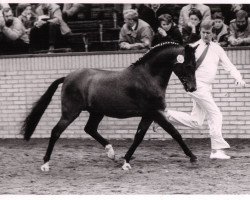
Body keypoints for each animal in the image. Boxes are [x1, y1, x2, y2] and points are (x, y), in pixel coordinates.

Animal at [20, 41, 198, 171]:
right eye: (188, 65)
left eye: (195, 65)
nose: (193, 88)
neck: (147, 77)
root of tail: (67, 77)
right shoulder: (155, 112)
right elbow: (175, 133)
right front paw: (193, 157)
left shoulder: (148, 115)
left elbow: (138, 137)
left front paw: (125, 161)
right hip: (71, 112)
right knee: (56, 132)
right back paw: (45, 164)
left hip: (97, 112)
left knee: (89, 129)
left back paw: (111, 153)